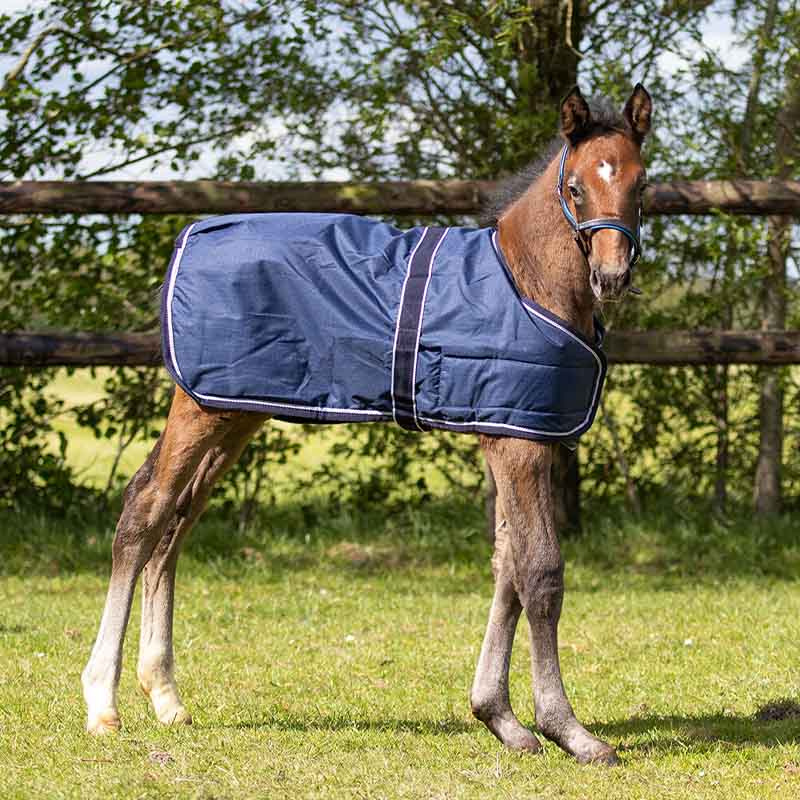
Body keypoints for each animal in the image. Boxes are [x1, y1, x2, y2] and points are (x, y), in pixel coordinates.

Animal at [81, 84, 652, 765]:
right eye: (575, 188)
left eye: (641, 184)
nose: (611, 277)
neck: (526, 282)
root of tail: (192, 234)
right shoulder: (518, 447)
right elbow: (539, 573)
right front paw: (567, 729)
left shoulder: (519, 437)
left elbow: (506, 569)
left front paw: (500, 719)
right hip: (202, 408)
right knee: (146, 509)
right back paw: (103, 704)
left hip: (233, 410)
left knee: (177, 521)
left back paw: (165, 695)